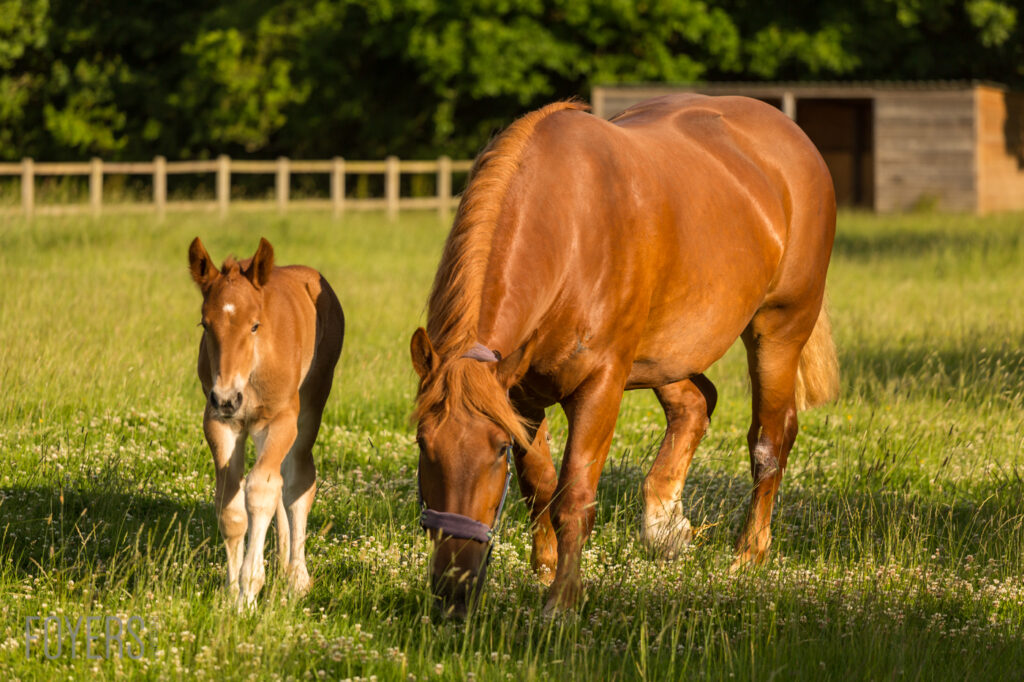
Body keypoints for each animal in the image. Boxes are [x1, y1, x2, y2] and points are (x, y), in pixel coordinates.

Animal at [189, 237, 344, 609]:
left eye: (255, 325)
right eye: (205, 325)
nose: (227, 398)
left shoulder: (279, 422)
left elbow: (261, 491)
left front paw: (249, 592)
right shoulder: (220, 425)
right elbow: (231, 506)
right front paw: (232, 595)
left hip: (310, 407)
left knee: (297, 480)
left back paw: (297, 578)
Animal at [410, 94, 839, 614]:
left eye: (496, 452)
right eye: (423, 444)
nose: (453, 587)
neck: (567, 226)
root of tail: (792, 136)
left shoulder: (600, 384)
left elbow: (575, 495)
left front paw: (562, 601)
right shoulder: (521, 394)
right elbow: (540, 485)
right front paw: (545, 568)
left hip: (777, 330)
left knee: (770, 438)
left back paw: (748, 555)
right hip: (665, 354)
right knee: (696, 403)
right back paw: (664, 525)